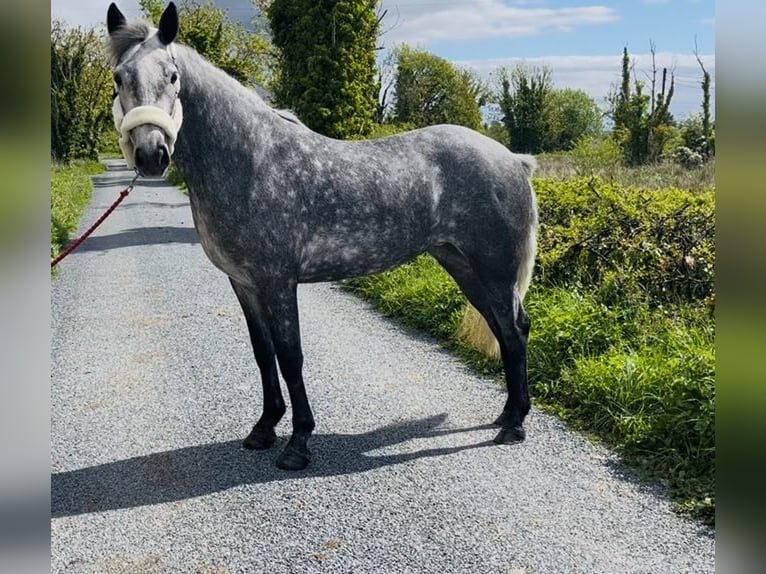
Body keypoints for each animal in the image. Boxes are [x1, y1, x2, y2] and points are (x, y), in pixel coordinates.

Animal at [106, 2, 539, 471]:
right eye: (118, 78)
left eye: (172, 76)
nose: (151, 155)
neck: (251, 160)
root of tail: (513, 158)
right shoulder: (243, 283)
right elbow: (263, 354)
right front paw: (263, 429)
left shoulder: (278, 281)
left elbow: (290, 356)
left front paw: (298, 443)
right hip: (464, 266)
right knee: (503, 330)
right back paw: (506, 415)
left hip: (494, 270)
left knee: (515, 330)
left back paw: (514, 425)